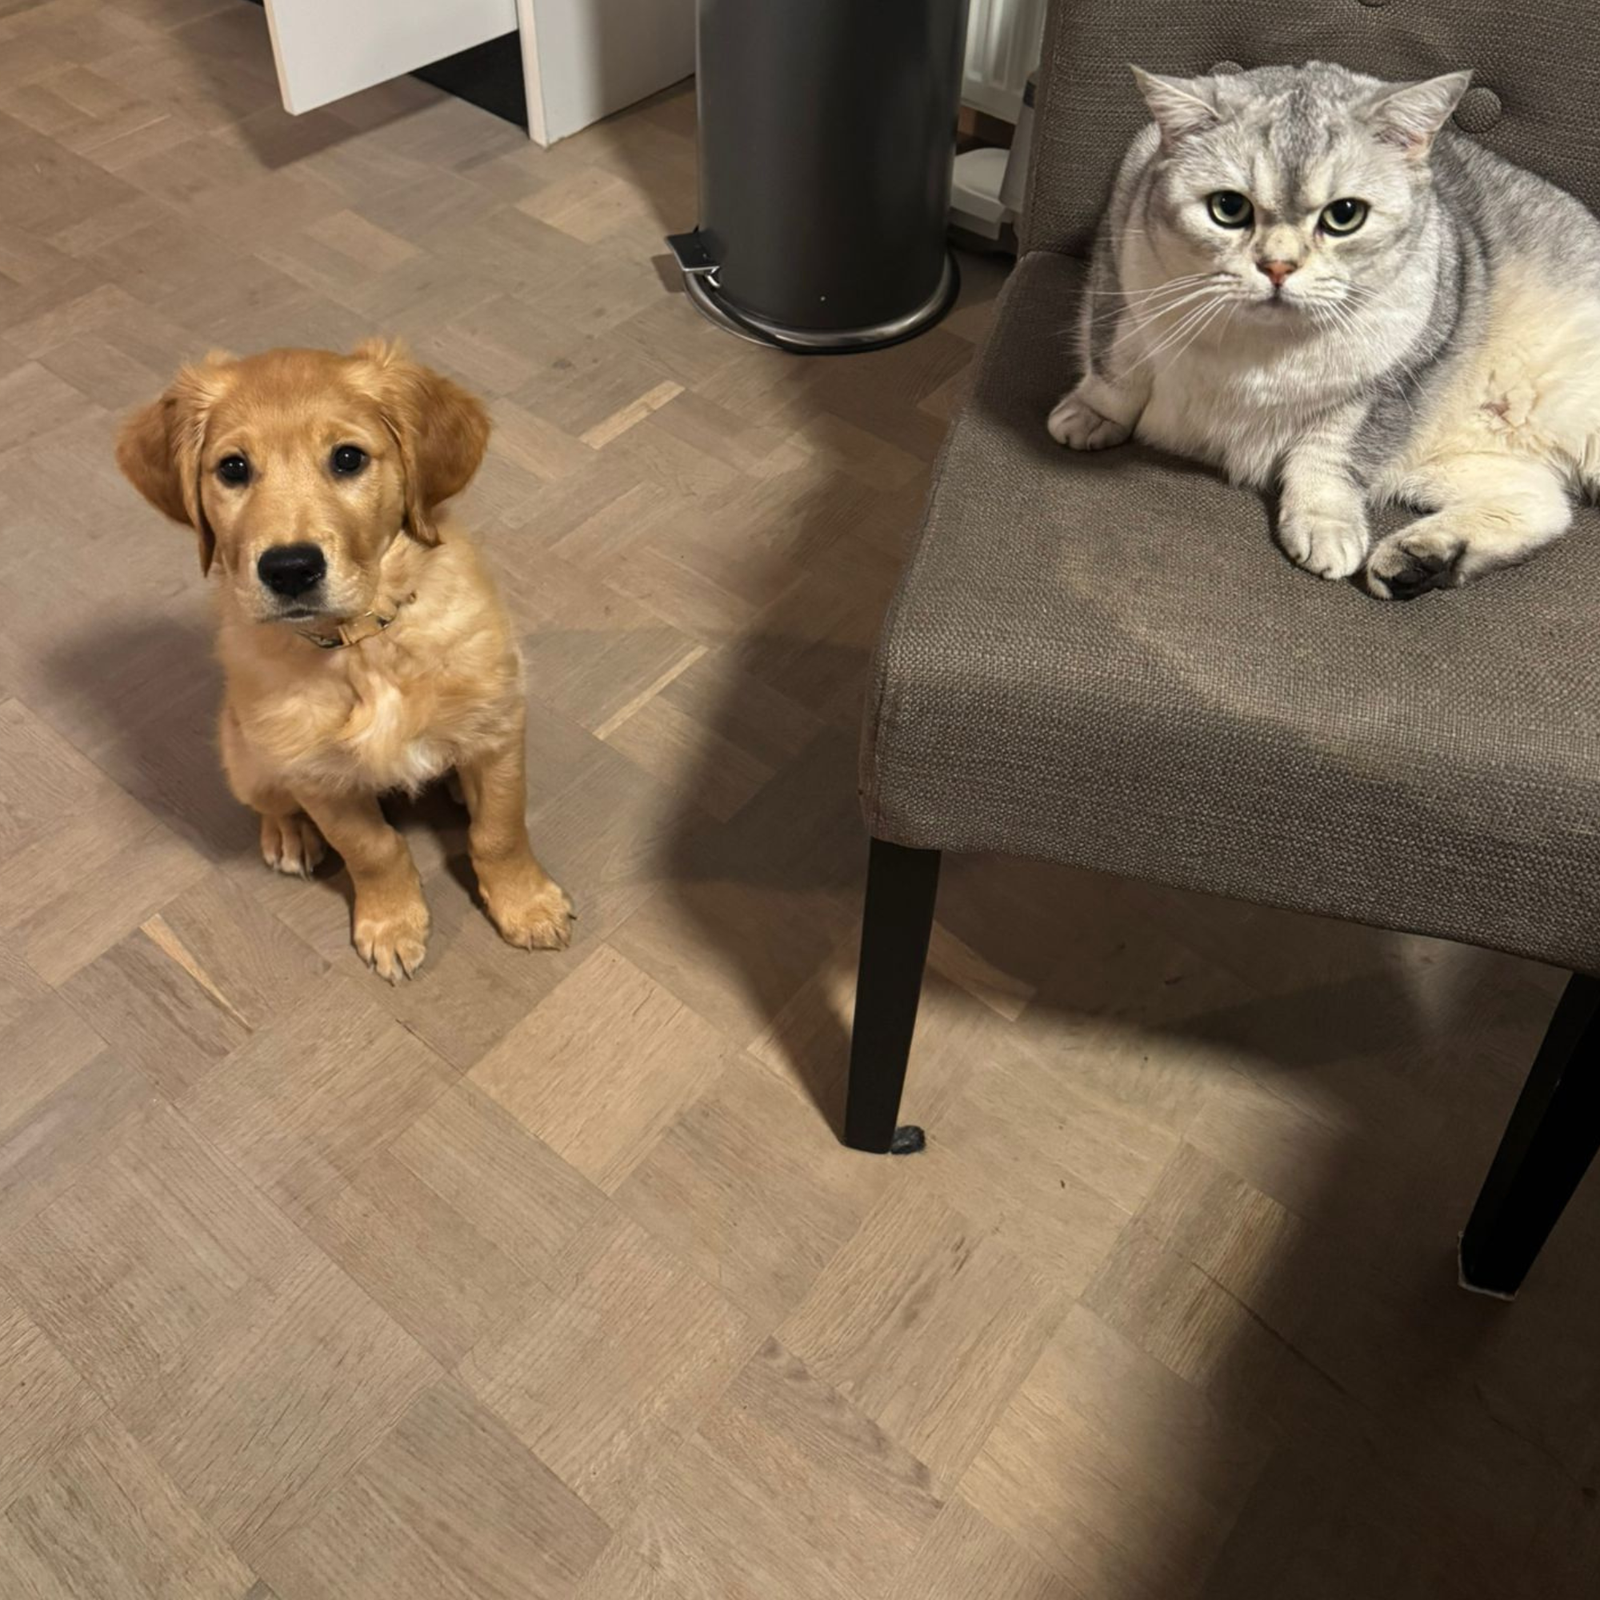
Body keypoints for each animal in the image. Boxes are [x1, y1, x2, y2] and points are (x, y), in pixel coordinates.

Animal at [116, 340, 572, 980]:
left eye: (348, 458)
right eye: (232, 469)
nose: (289, 569)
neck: (363, 647)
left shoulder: (496, 728)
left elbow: (499, 829)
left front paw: (526, 905)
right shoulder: (317, 774)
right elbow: (373, 850)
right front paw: (392, 923)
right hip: (243, 754)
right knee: (270, 801)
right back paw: (288, 835)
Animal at [1047, 61, 1600, 598]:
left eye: (1345, 215)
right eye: (1229, 208)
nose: (1277, 266)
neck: (1261, 349)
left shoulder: (1388, 381)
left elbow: (1329, 456)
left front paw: (1325, 524)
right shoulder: (1117, 274)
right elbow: (1114, 367)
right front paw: (1090, 415)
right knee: (1541, 505)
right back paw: (1419, 561)